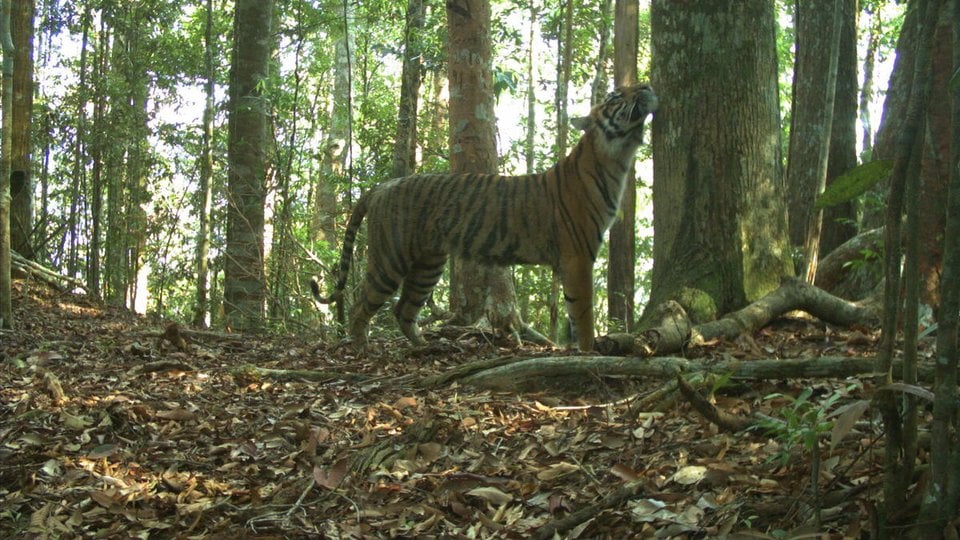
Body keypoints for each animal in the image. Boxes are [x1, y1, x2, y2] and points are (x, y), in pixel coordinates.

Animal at [312, 83, 657, 352]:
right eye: (615, 95)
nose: (647, 85)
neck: (617, 158)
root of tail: (382, 185)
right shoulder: (577, 257)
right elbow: (583, 313)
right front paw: (589, 353)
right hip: (390, 258)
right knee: (360, 305)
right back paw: (362, 347)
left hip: (428, 264)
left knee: (404, 308)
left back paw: (424, 346)